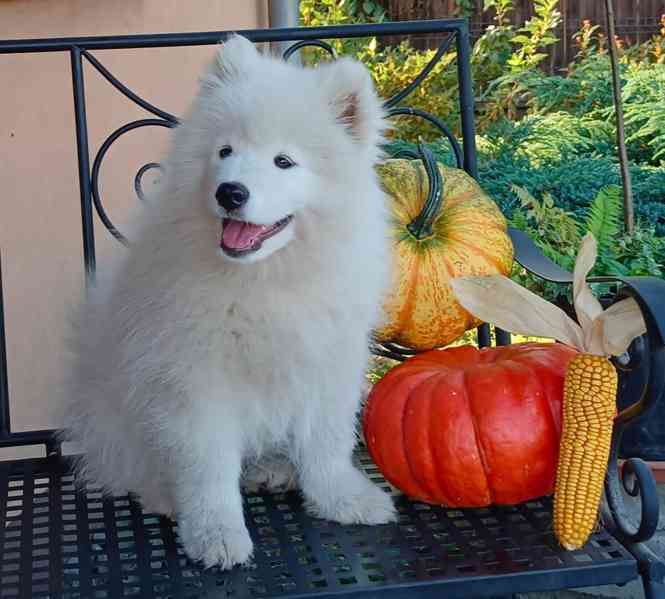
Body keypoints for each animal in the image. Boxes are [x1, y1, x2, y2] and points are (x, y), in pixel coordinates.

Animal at [61, 35, 394, 568]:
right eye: (225, 151)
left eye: (284, 161)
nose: (230, 192)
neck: (263, 280)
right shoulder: (196, 381)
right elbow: (207, 469)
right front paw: (215, 535)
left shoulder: (326, 361)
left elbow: (327, 443)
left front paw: (344, 500)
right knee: (132, 466)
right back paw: (164, 495)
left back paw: (271, 468)